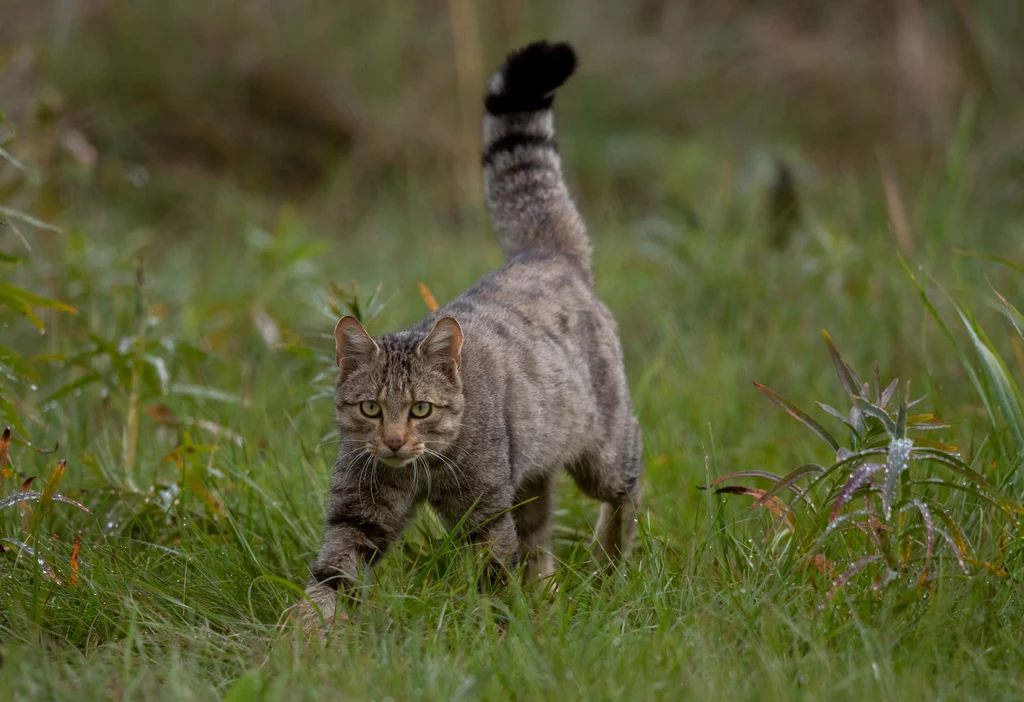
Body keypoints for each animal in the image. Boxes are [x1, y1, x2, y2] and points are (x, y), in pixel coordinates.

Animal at [299, 41, 643, 630]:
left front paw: (496, 632)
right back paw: (549, 592)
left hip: (602, 450)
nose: (394, 442)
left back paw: (609, 558)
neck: (419, 472)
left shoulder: (485, 513)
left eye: (420, 409)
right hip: (529, 473)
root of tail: (541, 252)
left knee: (630, 477)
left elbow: (493, 575)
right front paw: (298, 639)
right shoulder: (357, 514)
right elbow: (330, 580)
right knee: (539, 533)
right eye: (370, 409)